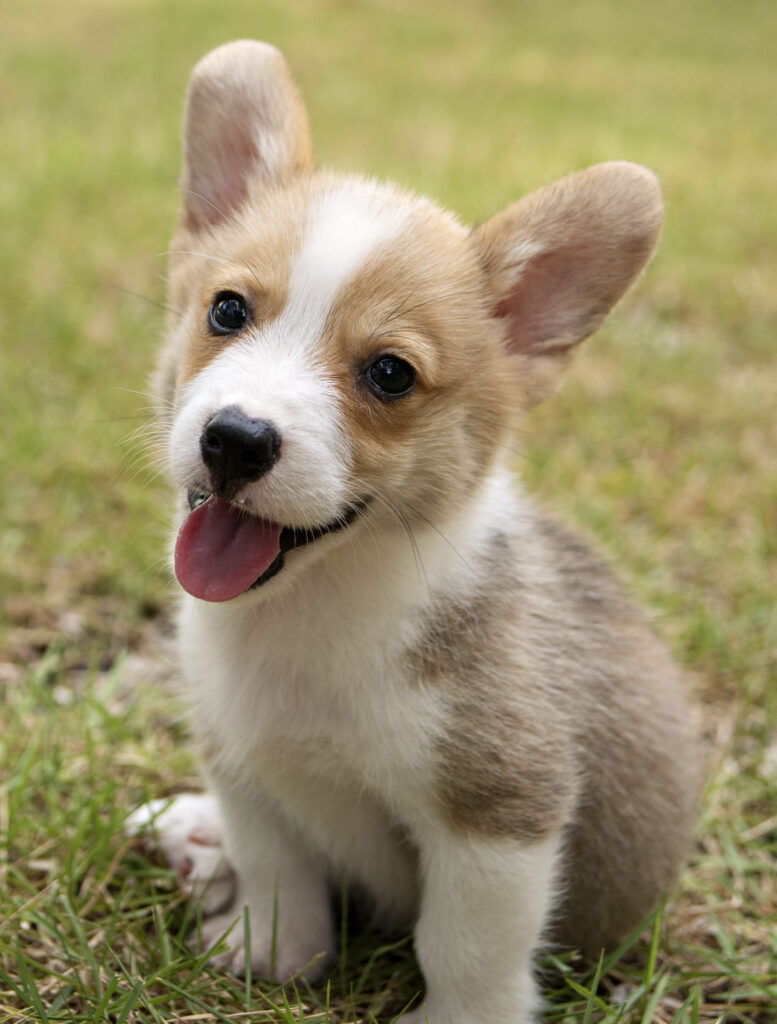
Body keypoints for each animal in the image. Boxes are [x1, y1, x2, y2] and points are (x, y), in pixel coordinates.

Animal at [125, 39, 700, 1024]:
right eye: (227, 311)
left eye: (390, 374)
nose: (234, 440)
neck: (313, 610)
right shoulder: (245, 764)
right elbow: (277, 869)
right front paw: (271, 955)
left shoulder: (498, 817)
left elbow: (464, 946)